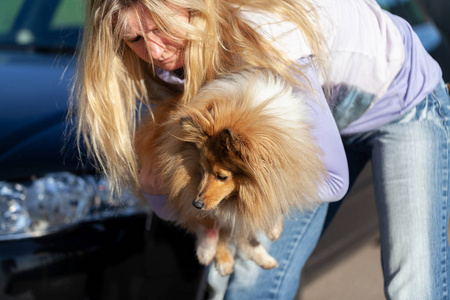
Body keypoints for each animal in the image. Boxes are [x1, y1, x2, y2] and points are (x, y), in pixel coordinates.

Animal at [135, 69, 326, 276]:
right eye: (201, 169)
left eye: (222, 176)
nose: (197, 204)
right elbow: (214, 223)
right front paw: (213, 251)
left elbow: (271, 203)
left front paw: (274, 229)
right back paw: (219, 256)